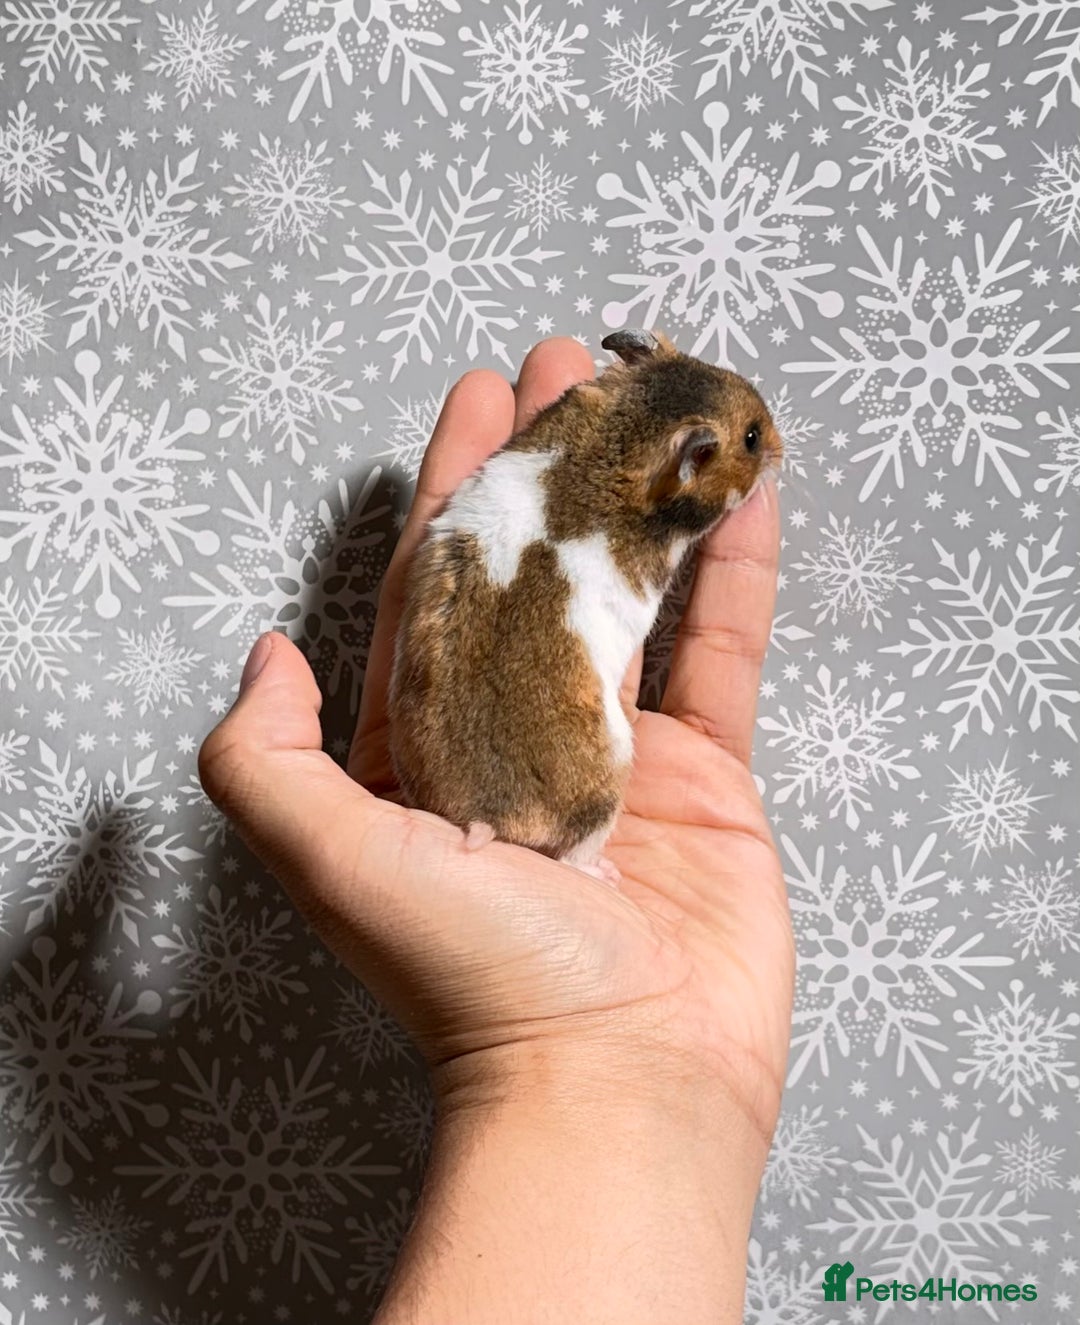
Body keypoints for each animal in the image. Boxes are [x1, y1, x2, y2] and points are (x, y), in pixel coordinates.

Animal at [386, 328, 783, 885]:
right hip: (607, 782)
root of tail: (483, 819)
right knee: (571, 855)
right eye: (750, 437)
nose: (782, 444)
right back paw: (605, 874)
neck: (624, 443)